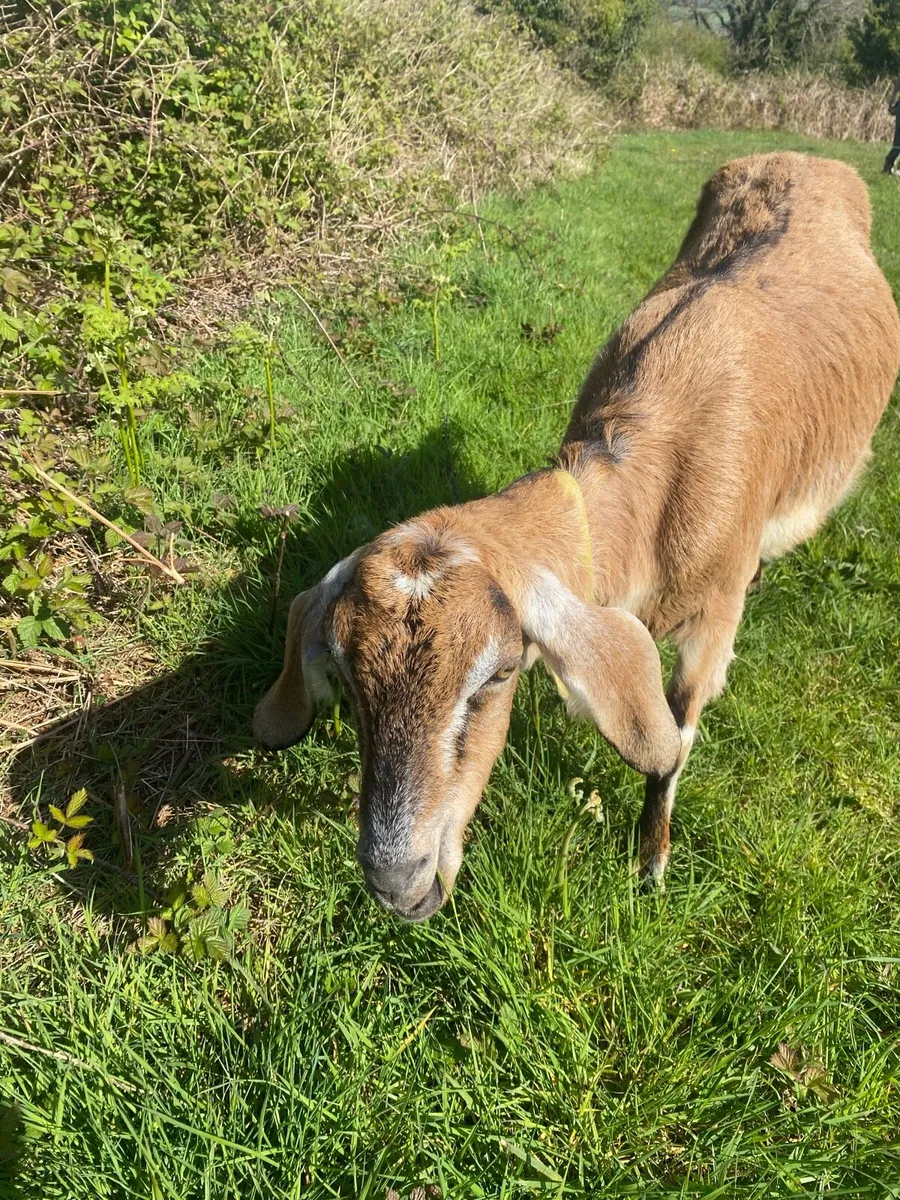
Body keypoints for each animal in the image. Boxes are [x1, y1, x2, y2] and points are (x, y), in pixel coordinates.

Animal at [255, 152, 900, 921]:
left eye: (500, 673)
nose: (398, 883)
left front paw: (651, 862)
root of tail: (802, 158)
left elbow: (676, 737)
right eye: (348, 683)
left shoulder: (714, 618)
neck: (654, 485)